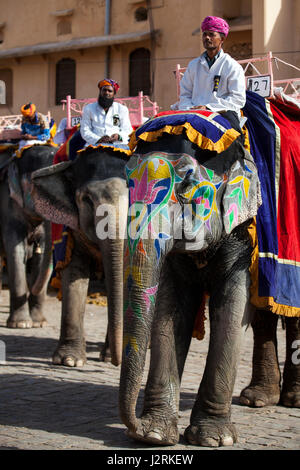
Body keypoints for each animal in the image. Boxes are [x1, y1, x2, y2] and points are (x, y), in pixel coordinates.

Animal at [0, 143, 55, 326]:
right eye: (39, 185)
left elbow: (42, 253)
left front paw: (38, 323)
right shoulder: (7, 205)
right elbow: (16, 252)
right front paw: (21, 324)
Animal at [30, 146, 129, 368]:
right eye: (87, 200)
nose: (116, 362)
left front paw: (108, 356)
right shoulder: (72, 230)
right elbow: (74, 273)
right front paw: (69, 361)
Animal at [119, 133, 262, 448]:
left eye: (186, 188)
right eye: (126, 184)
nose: (134, 426)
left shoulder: (244, 230)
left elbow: (233, 309)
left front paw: (215, 438)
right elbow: (170, 308)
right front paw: (155, 434)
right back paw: (261, 398)